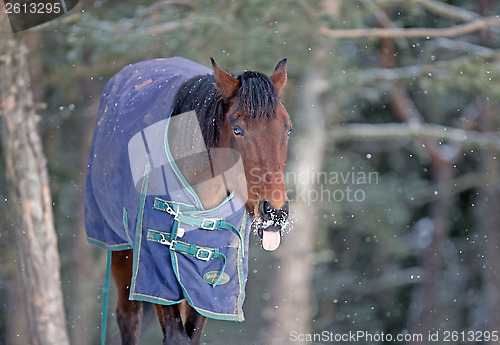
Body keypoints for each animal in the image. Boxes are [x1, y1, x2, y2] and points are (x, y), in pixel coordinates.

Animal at [84, 55, 292, 342]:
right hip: (122, 251)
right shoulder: (155, 272)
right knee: (128, 317)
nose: (274, 211)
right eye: (238, 129)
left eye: (287, 129)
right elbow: (176, 336)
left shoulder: (208, 280)